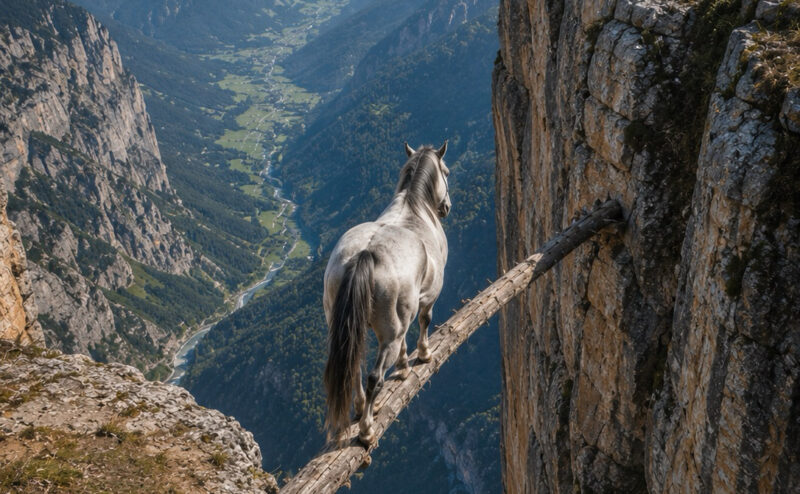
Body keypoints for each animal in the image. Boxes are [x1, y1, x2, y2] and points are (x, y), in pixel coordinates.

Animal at [323, 141, 451, 445]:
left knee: (354, 368)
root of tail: (365, 254)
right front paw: (423, 354)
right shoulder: (429, 297)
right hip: (387, 336)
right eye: (446, 171)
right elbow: (425, 322)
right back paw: (367, 429)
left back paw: (360, 409)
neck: (415, 208)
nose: (446, 207)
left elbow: (405, 341)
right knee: (374, 377)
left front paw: (403, 367)